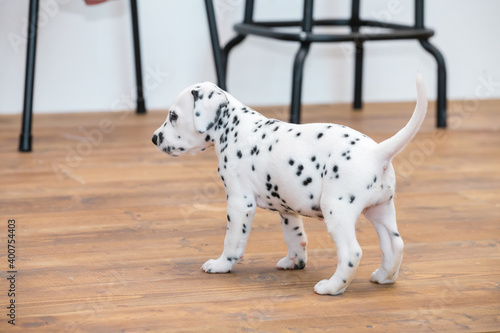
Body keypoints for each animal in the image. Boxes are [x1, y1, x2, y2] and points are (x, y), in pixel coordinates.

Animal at [151, 73, 426, 294]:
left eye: (173, 116)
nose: (154, 138)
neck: (236, 129)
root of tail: (377, 152)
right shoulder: (287, 208)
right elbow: (295, 236)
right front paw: (295, 262)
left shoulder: (240, 203)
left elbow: (232, 240)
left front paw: (221, 265)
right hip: (381, 211)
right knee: (395, 244)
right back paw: (384, 277)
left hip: (337, 211)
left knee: (351, 252)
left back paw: (332, 287)